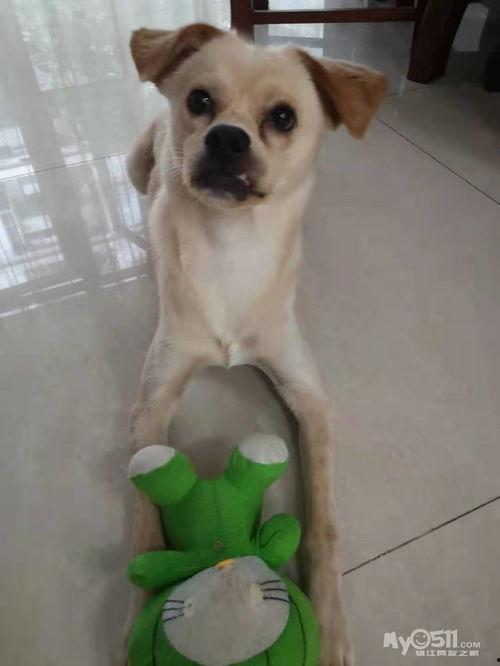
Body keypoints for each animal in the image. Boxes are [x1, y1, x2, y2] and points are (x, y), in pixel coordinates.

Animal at [126, 23, 386, 666]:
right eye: (199, 101)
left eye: (284, 117)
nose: (225, 137)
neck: (231, 245)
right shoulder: (151, 405)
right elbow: (143, 523)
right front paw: (140, 619)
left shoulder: (309, 398)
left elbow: (325, 523)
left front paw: (331, 626)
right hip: (136, 163)